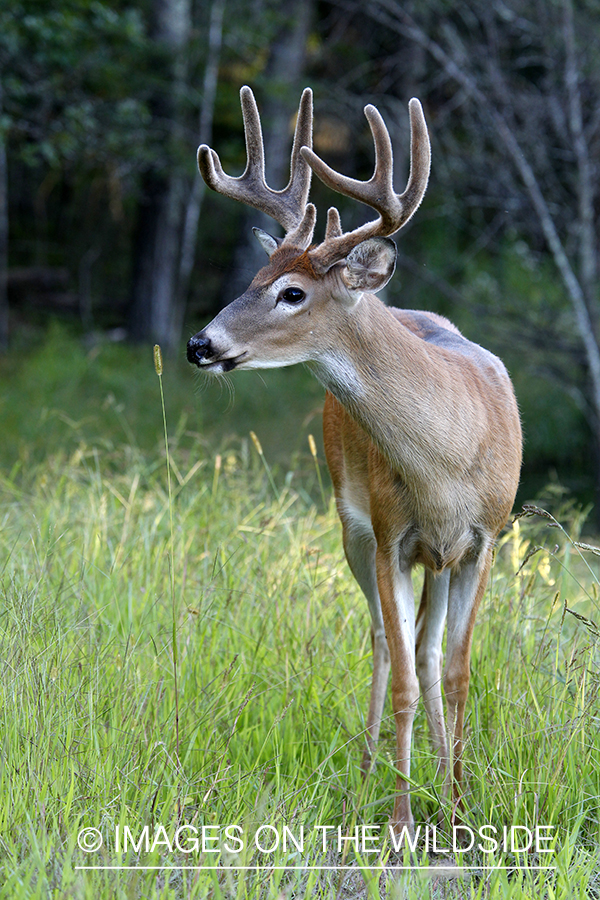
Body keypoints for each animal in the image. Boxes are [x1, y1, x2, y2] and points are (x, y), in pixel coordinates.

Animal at [188, 88, 520, 832]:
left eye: (292, 292)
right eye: (255, 276)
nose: (199, 343)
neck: (447, 460)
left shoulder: (486, 536)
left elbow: (455, 673)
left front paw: (461, 815)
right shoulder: (392, 533)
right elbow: (400, 677)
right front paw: (398, 825)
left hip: (438, 557)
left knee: (425, 650)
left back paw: (436, 787)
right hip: (351, 523)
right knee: (381, 640)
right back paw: (370, 779)